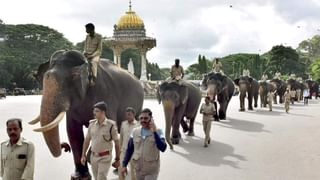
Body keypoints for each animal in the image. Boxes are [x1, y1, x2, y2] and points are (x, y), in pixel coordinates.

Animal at [29, 50, 144, 179]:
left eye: (73, 77)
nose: (65, 147)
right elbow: (73, 132)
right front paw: (79, 176)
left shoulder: (106, 95)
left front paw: (91, 159)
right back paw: (116, 167)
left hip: (138, 107)